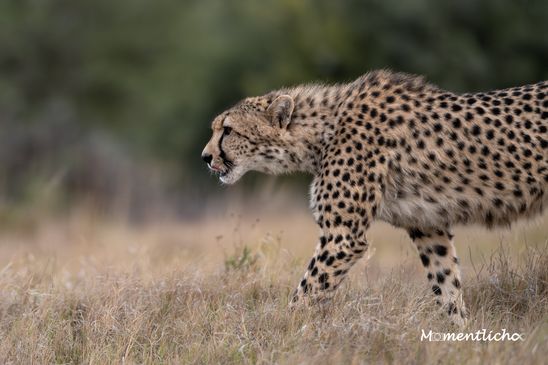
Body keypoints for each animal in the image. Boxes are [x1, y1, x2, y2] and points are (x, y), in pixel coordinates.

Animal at [202, 69, 548, 326]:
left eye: (228, 130)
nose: (205, 157)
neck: (320, 133)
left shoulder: (342, 237)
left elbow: (304, 294)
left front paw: (281, 332)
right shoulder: (428, 226)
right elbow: (447, 284)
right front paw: (460, 336)